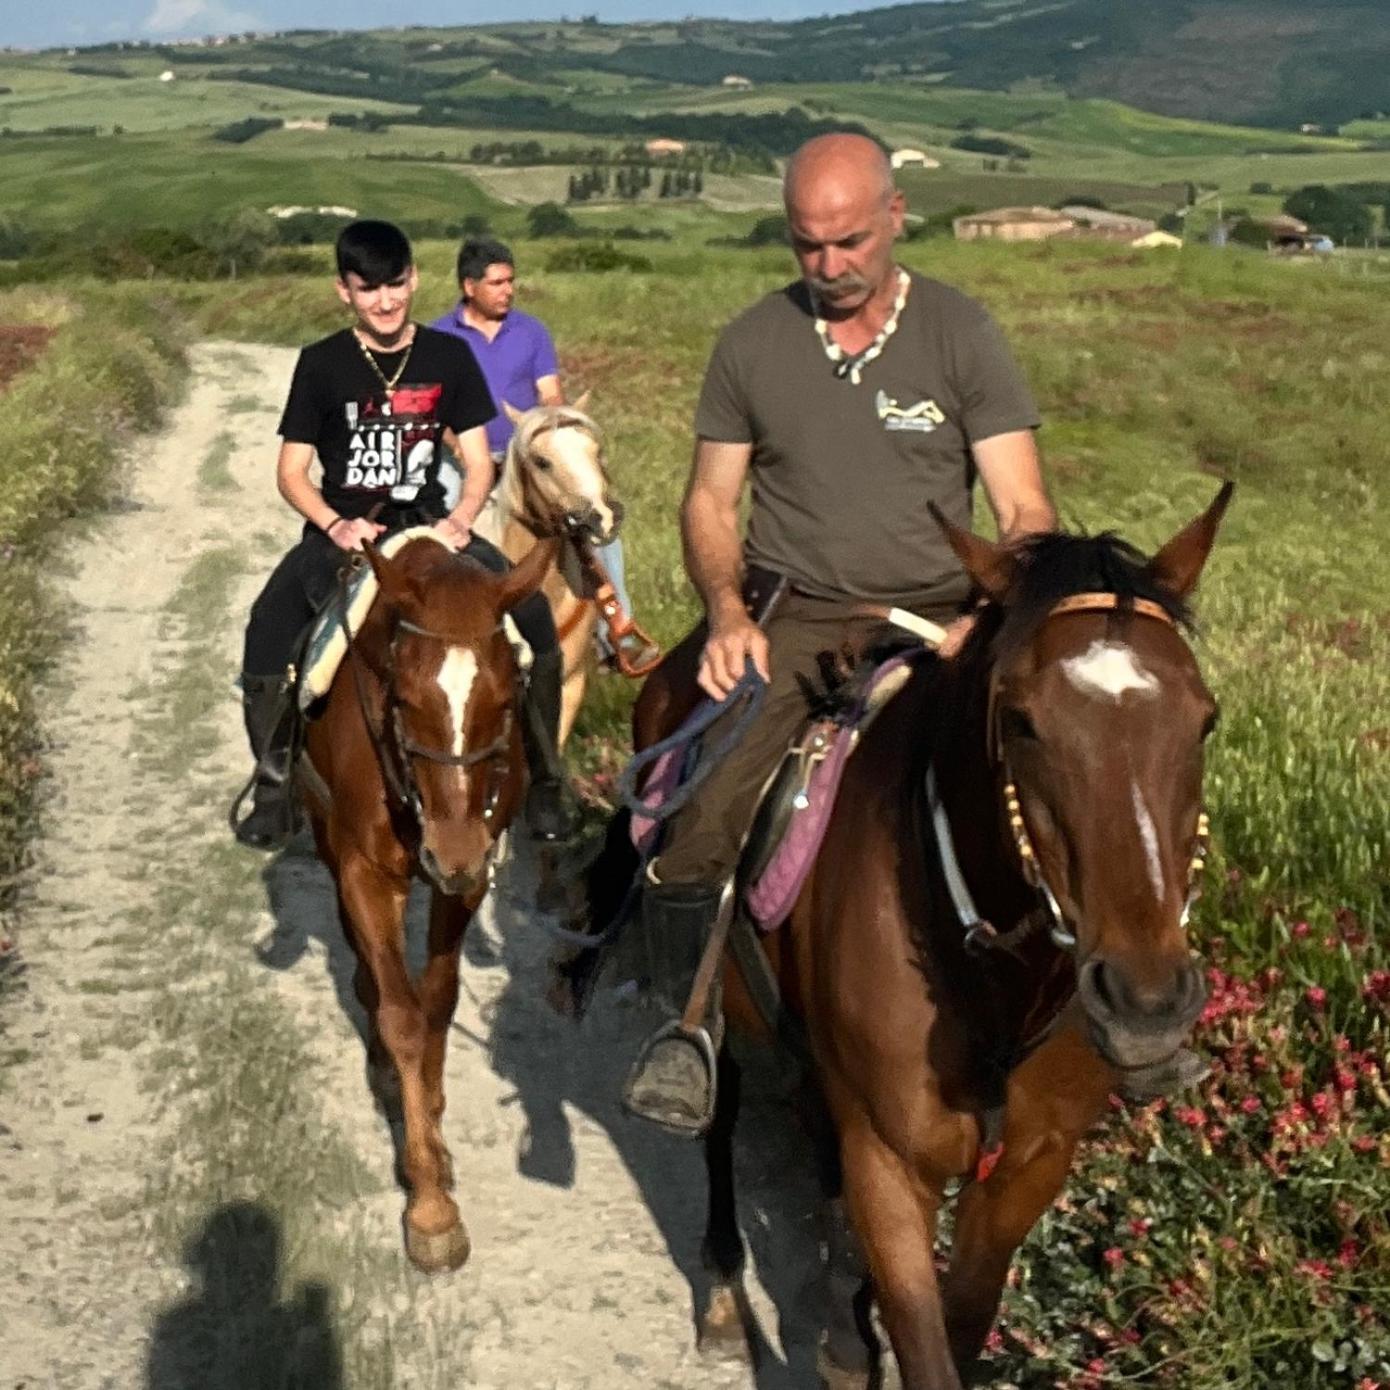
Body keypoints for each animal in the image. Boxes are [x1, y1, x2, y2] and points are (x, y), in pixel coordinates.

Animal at [298, 530, 553, 1273]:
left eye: (507, 700)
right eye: (404, 699)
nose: (454, 851)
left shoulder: (464, 883)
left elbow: (436, 1001)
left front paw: (434, 1127)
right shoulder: (365, 871)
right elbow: (403, 1018)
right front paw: (431, 1207)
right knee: (365, 966)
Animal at [614, 483, 1234, 1384]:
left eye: (1204, 721)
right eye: (1023, 722)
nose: (1146, 1003)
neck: (992, 977)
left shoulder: (1029, 1167)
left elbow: (964, 1325)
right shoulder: (890, 1162)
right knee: (719, 1116)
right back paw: (728, 1295)